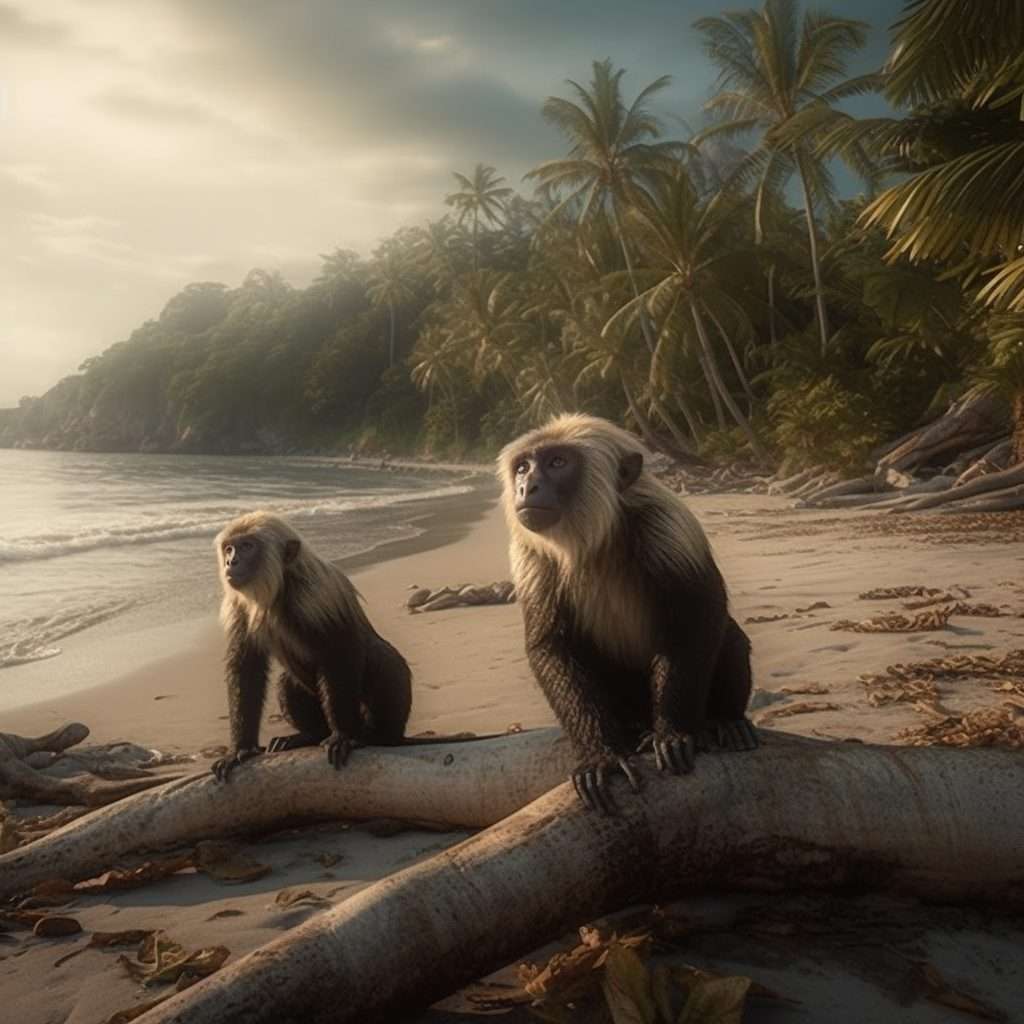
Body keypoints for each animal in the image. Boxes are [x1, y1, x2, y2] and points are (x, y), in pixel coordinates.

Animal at [211, 507, 411, 778]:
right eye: (230, 548)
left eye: (247, 546)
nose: (231, 562)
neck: (279, 590)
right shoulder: (239, 606)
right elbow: (246, 667)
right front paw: (241, 748)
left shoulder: (317, 594)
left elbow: (339, 654)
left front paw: (342, 736)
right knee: (287, 682)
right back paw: (311, 735)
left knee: (383, 659)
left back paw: (376, 736)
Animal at [499, 411, 757, 811]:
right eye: (523, 467)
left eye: (557, 463)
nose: (527, 487)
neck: (595, 541)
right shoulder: (530, 554)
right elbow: (550, 646)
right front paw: (601, 754)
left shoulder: (667, 527)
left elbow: (696, 622)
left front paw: (672, 732)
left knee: (726, 634)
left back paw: (722, 720)